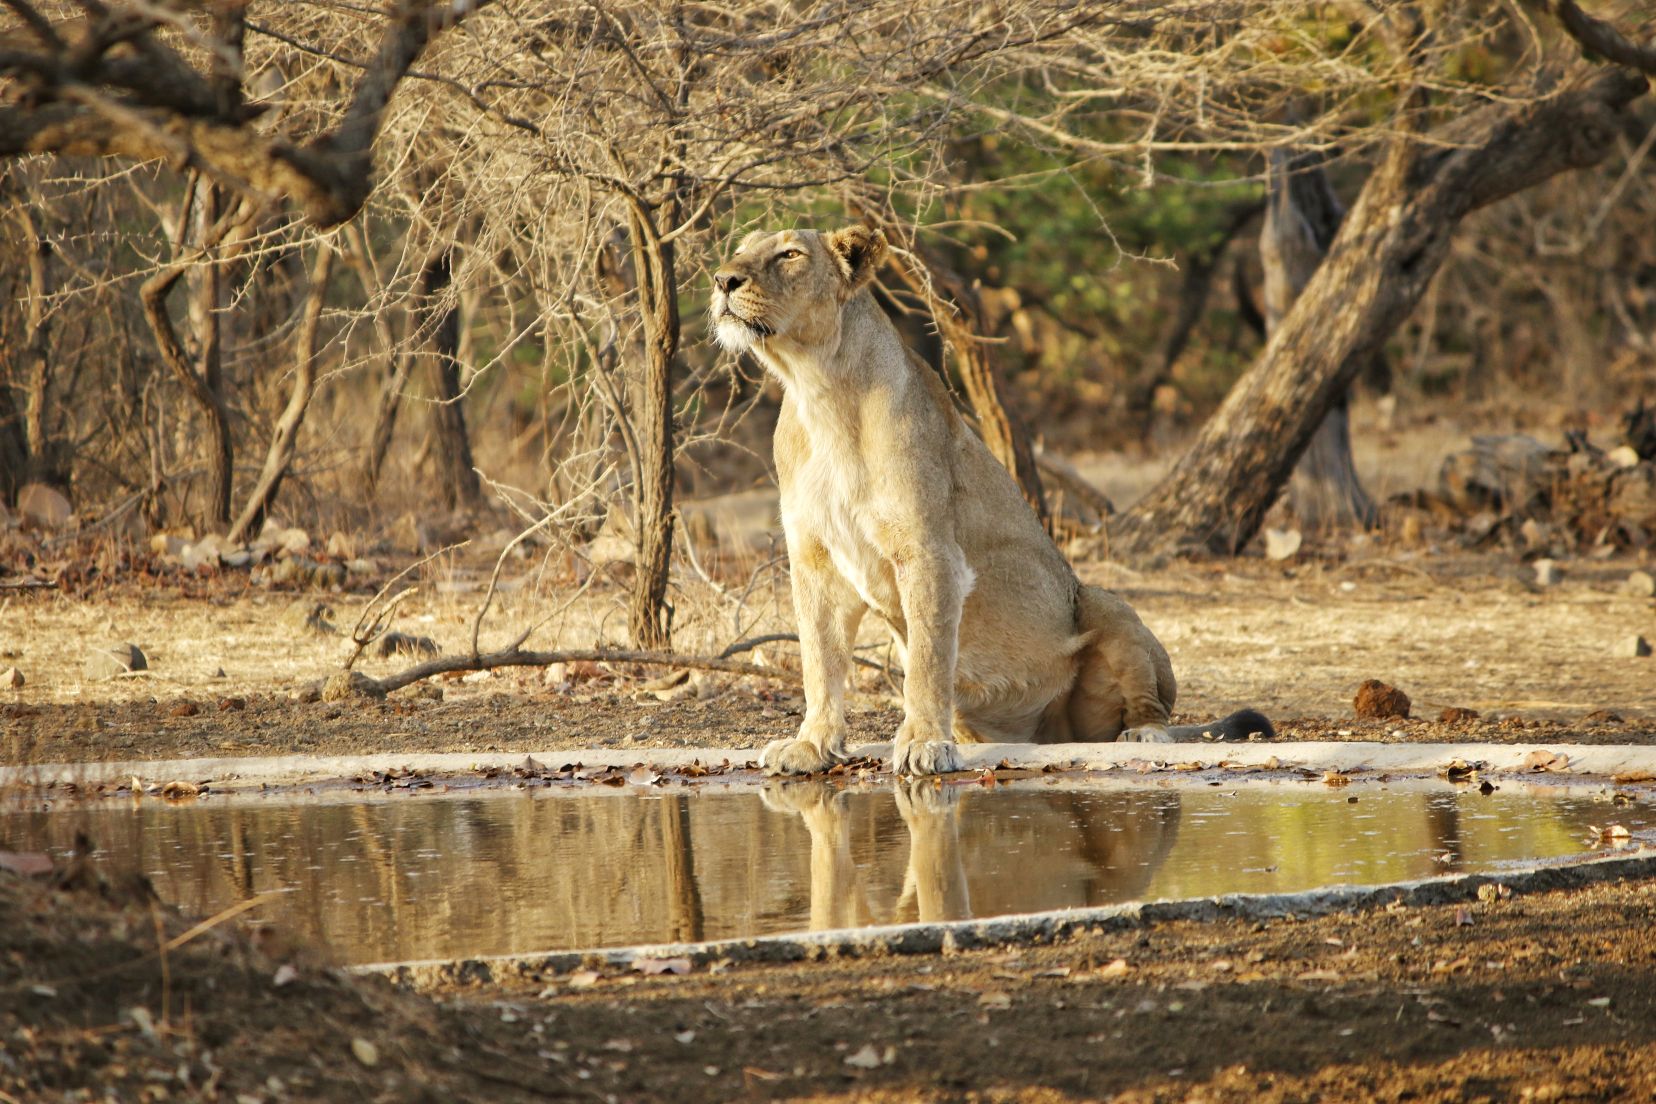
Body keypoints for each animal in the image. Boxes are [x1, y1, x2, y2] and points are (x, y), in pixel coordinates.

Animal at [711, 225, 1272, 777]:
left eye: (789, 254)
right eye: (740, 248)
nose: (722, 279)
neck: (817, 388)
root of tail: (1049, 737)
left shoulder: (929, 553)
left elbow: (928, 661)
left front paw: (923, 744)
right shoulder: (816, 561)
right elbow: (819, 661)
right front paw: (812, 745)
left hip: (1104, 602)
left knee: (1150, 709)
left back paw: (1143, 735)